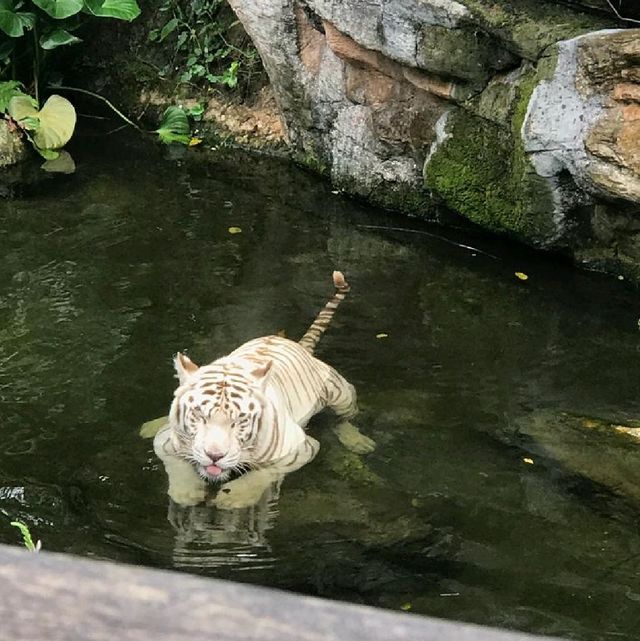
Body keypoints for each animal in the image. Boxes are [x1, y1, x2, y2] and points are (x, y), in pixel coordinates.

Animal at [152, 272, 376, 508]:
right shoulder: (165, 443)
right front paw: (185, 492)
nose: (214, 455)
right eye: (200, 416)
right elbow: (179, 466)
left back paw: (359, 442)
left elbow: (263, 473)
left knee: (344, 418)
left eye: (239, 421)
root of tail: (298, 345)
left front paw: (234, 498)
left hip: (341, 391)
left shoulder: (300, 450)